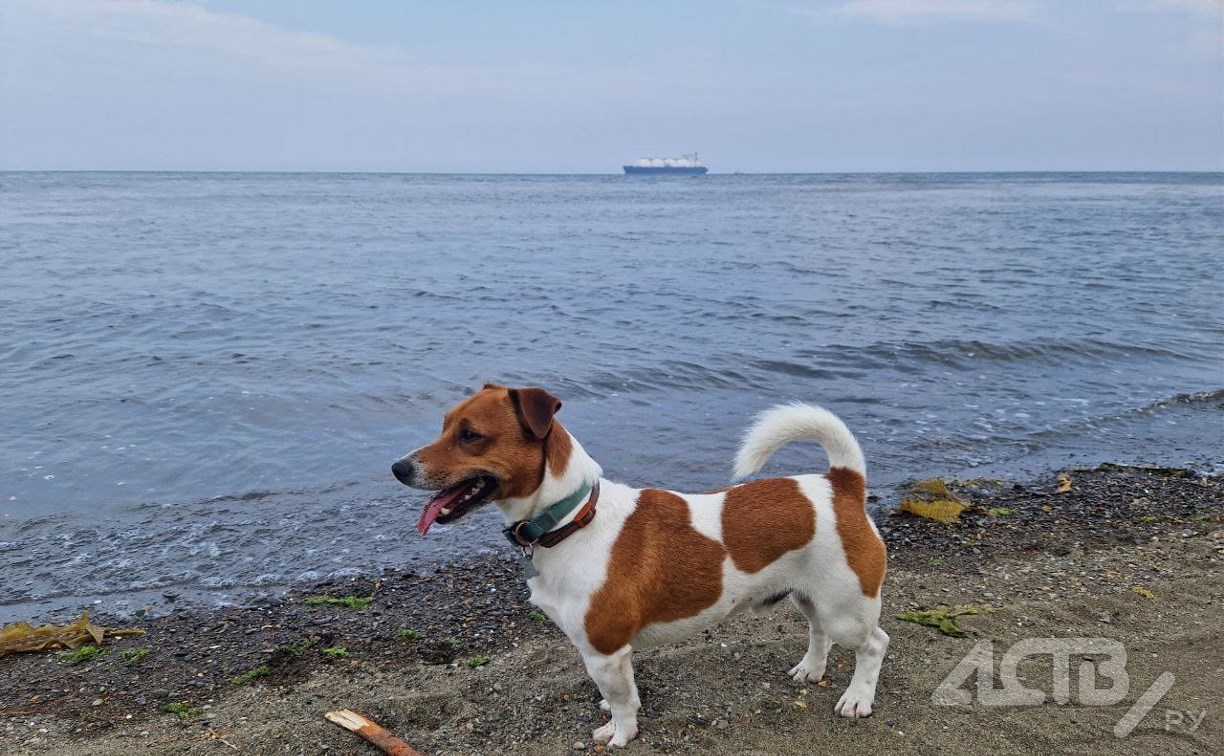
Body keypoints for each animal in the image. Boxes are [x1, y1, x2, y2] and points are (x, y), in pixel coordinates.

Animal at [392, 384, 888, 748]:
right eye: (444, 426)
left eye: (470, 435)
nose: (397, 468)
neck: (572, 519)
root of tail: (841, 484)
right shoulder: (607, 656)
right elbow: (621, 694)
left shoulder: (605, 651)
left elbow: (623, 701)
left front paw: (621, 732)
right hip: (812, 596)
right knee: (818, 631)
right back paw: (811, 670)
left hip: (846, 608)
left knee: (874, 644)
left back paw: (857, 698)